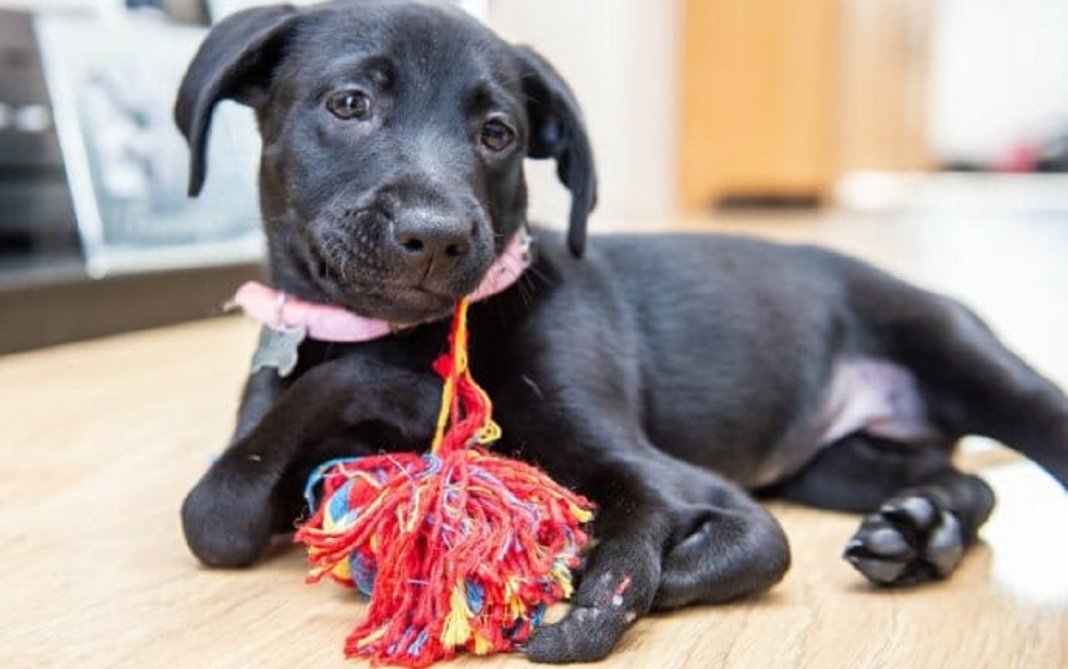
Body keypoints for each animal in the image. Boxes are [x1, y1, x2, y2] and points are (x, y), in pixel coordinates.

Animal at [175, 0, 1068, 658]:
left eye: (497, 133)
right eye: (350, 104)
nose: (437, 235)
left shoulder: (646, 464)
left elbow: (658, 535)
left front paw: (590, 585)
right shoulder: (257, 438)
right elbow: (212, 512)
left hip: (962, 355)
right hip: (833, 465)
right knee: (965, 480)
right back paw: (919, 530)